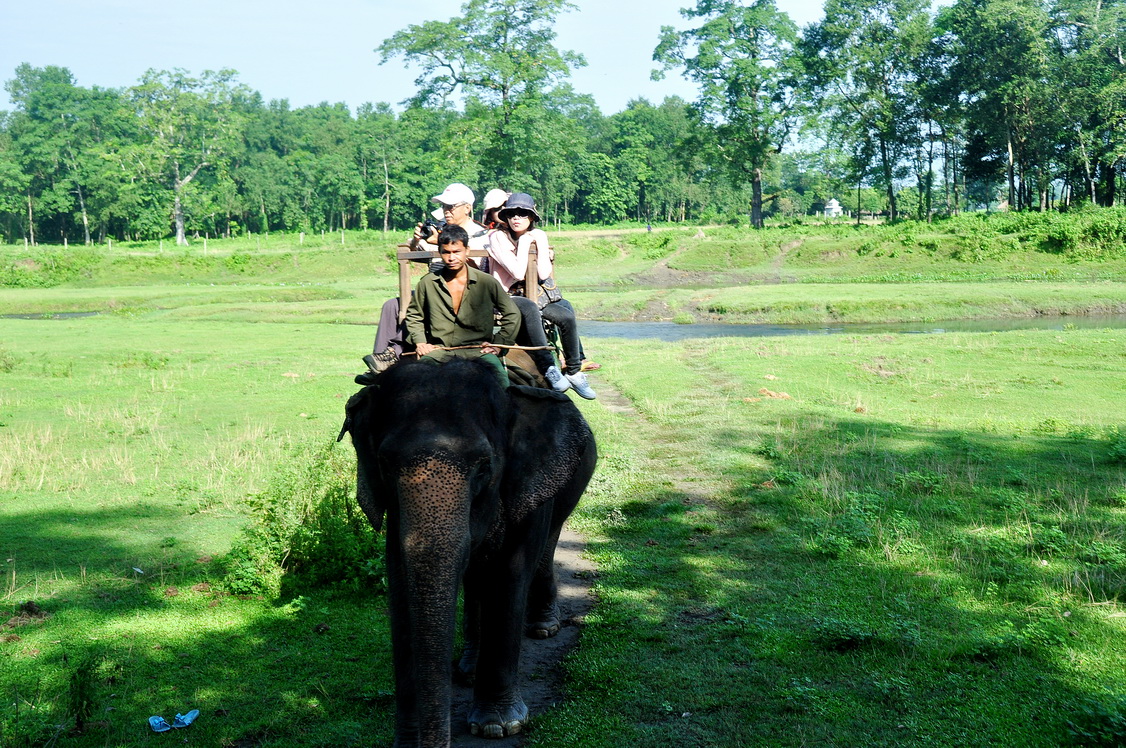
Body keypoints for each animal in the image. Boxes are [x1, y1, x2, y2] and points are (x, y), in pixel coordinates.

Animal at [337, 358, 599, 747]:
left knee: (546, 546)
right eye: (384, 465)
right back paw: (469, 669)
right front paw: (407, 741)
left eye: (484, 466)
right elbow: (400, 584)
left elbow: (510, 572)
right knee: (476, 577)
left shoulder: (528, 481)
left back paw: (543, 627)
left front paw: (497, 727)